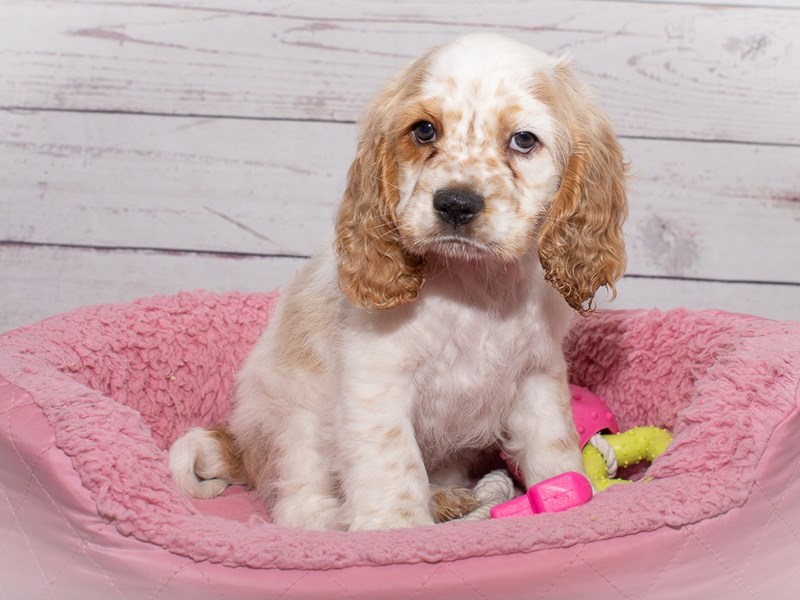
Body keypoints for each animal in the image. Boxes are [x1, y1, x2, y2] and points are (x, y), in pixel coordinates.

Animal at [172, 32, 628, 528]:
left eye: (524, 139)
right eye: (424, 131)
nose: (455, 204)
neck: (474, 286)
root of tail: (239, 445)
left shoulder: (537, 375)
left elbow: (553, 447)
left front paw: (569, 504)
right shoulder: (377, 379)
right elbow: (393, 465)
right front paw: (397, 529)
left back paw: (448, 499)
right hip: (296, 425)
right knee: (299, 505)